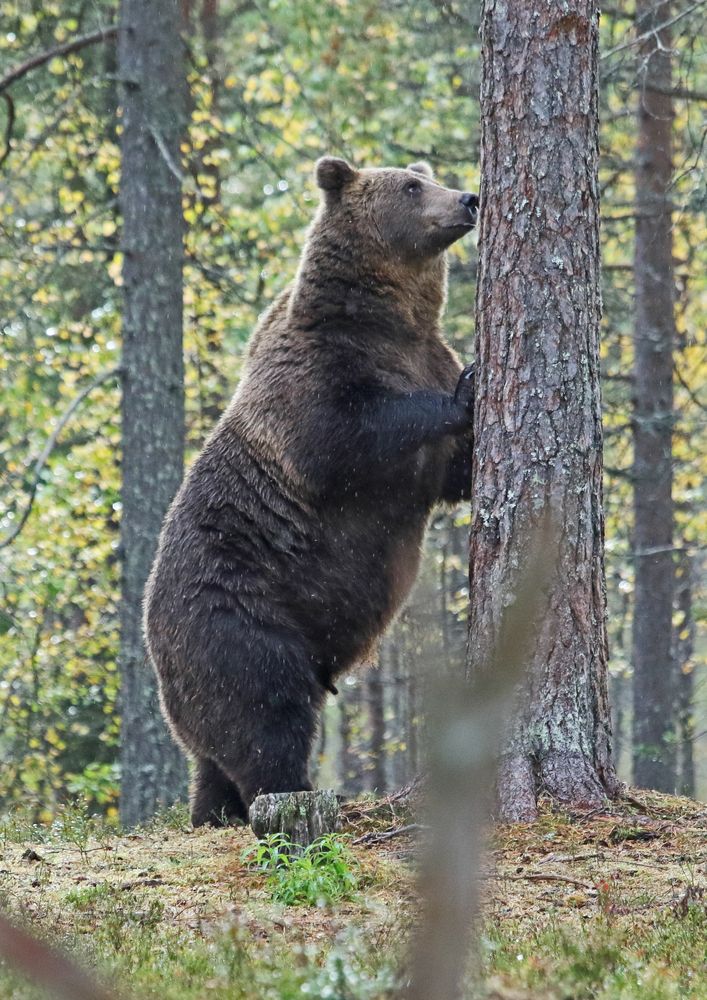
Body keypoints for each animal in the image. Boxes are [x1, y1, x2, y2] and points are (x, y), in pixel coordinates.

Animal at [144, 158, 478, 828]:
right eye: (411, 186)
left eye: (425, 175)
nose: (468, 198)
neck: (392, 322)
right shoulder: (314, 381)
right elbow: (345, 441)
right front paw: (467, 393)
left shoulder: (426, 353)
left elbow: (453, 476)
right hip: (237, 618)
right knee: (268, 710)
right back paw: (295, 793)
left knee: (220, 753)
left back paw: (213, 810)